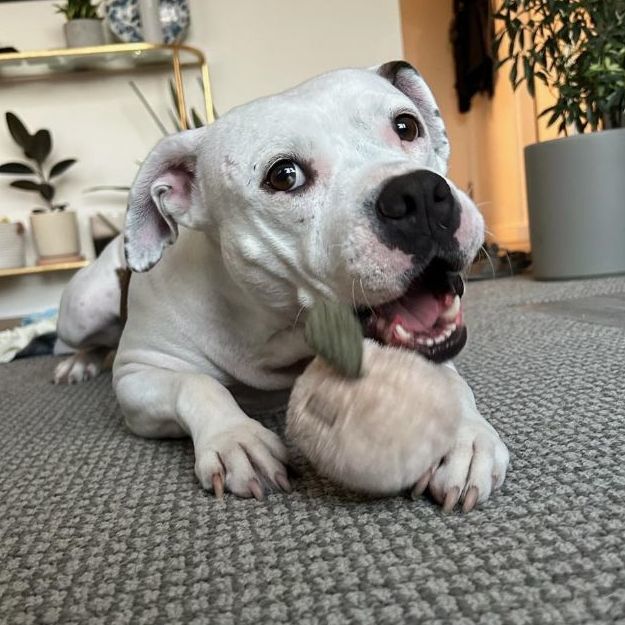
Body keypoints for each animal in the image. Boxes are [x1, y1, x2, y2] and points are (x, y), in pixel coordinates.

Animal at [56, 61, 510, 510]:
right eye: (284, 176)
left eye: (406, 126)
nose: (418, 193)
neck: (275, 328)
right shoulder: (139, 374)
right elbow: (196, 384)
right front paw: (235, 437)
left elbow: (451, 381)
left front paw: (463, 438)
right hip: (81, 309)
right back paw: (77, 362)